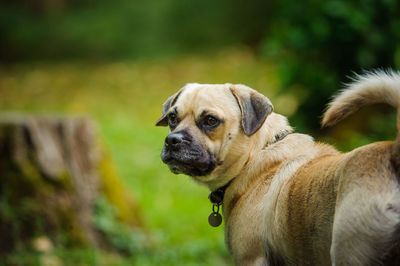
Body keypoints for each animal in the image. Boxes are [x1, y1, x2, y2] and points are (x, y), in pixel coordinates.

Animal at [157, 71, 400, 266]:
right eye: (172, 118)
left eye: (210, 120)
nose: (172, 140)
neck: (256, 154)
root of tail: (393, 153)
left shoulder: (251, 259)